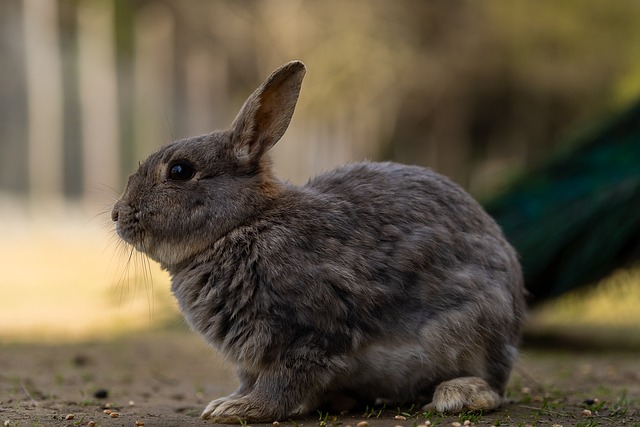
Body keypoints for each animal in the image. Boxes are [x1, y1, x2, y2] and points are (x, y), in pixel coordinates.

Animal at [112, 60, 528, 424]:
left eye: (180, 170)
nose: (118, 214)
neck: (243, 225)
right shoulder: (252, 358)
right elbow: (249, 380)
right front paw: (227, 402)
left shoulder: (309, 334)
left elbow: (283, 383)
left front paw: (238, 410)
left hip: (473, 329)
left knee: (492, 387)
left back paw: (456, 394)